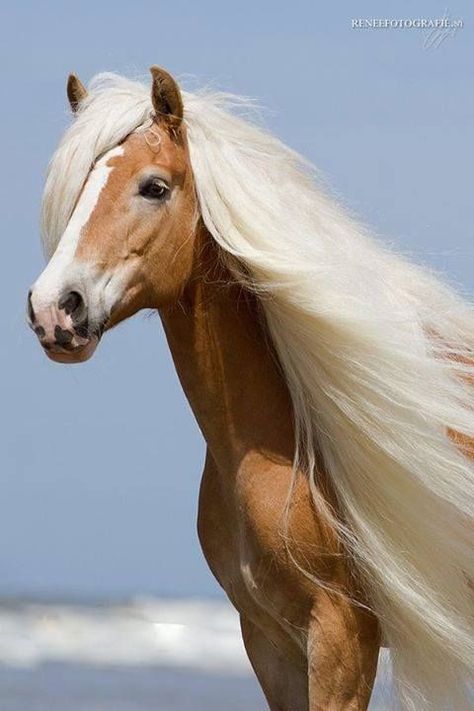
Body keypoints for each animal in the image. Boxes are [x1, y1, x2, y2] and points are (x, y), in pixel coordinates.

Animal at [26, 68, 474, 711]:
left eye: (154, 187)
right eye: (81, 184)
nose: (53, 309)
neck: (281, 453)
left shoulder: (343, 637)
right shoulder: (268, 638)